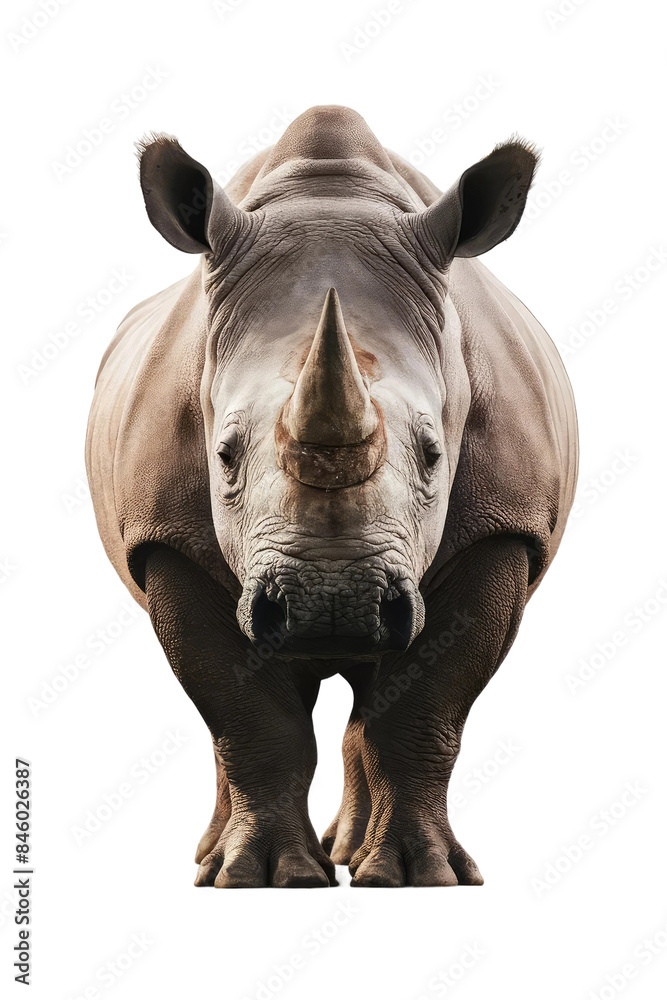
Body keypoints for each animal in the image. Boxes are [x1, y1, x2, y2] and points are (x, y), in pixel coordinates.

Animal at [86, 105, 578, 888]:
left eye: (433, 456)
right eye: (223, 455)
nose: (332, 604)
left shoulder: (502, 529)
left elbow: (420, 713)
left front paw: (420, 877)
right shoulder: (165, 540)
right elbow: (248, 719)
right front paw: (261, 877)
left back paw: (350, 852)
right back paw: (213, 857)